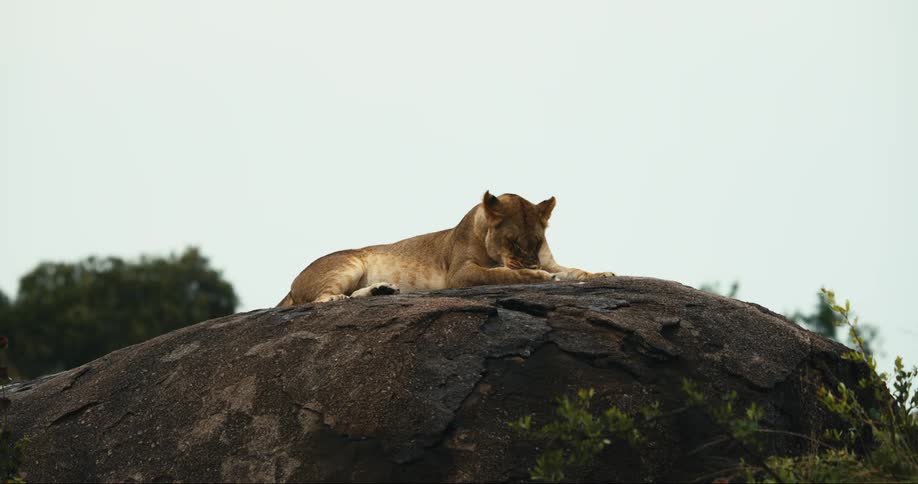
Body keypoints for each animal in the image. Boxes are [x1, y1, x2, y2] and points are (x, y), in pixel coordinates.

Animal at [277, 191, 615, 306]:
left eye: (538, 241)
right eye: (513, 241)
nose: (532, 262)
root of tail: (292, 286)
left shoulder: (550, 260)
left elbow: (575, 271)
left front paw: (603, 274)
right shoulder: (460, 274)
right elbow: (500, 274)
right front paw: (537, 278)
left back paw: (381, 290)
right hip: (348, 264)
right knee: (321, 299)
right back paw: (342, 298)